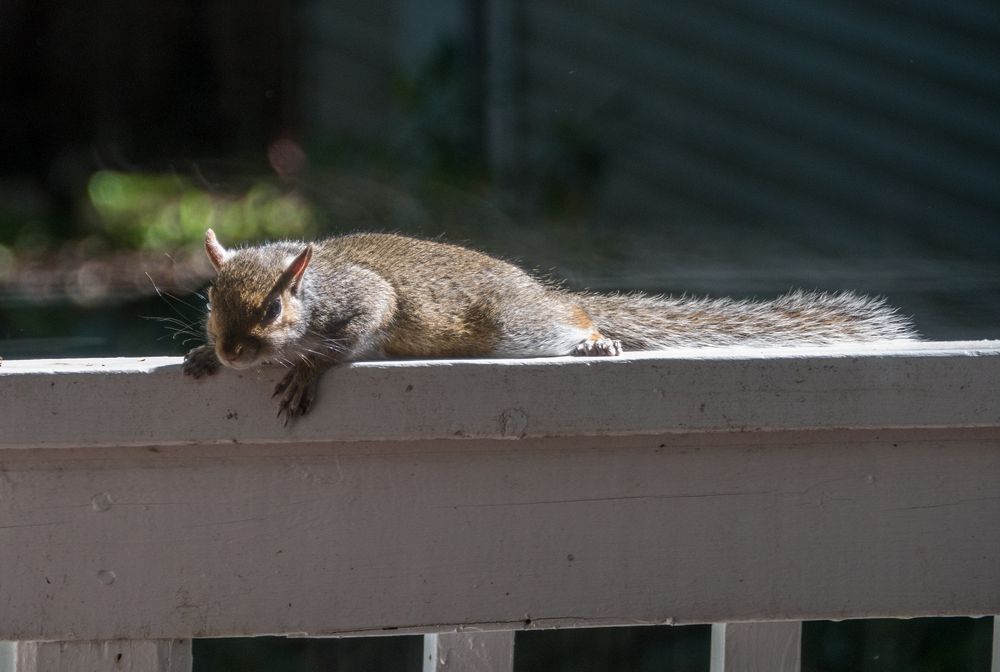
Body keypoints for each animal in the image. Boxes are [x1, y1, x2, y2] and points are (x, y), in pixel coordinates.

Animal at [184, 228, 916, 422]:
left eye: (272, 310)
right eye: (209, 300)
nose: (233, 350)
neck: (312, 286)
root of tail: (545, 292)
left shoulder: (366, 300)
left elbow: (348, 338)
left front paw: (305, 371)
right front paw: (203, 357)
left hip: (519, 325)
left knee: (570, 319)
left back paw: (593, 335)